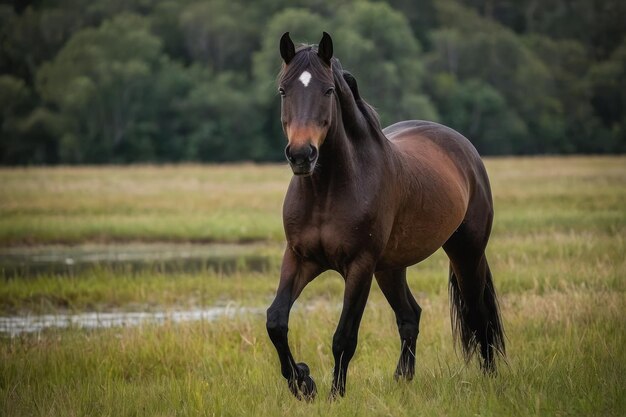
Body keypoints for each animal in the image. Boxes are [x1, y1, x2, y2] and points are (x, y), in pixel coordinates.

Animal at [266, 31, 504, 400]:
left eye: (328, 90)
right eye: (283, 90)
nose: (302, 155)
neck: (327, 190)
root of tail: (464, 148)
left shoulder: (360, 266)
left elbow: (344, 337)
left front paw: (335, 395)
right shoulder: (300, 258)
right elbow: (276, 321)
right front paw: (303, 381)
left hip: (466, 253)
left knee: (479, 314)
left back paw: (489, 377)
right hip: (391, 268)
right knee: (410, 315)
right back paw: (402, 378)